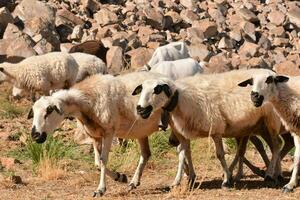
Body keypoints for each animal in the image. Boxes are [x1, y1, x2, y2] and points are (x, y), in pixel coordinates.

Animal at [27, 72, 197, 197]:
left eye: (49, 110)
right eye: (33, 112)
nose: (35, 135)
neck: (86, 101)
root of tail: (171, 81)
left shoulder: (109, 132)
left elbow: (103, 160)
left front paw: (100, 189)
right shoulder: (95, 136)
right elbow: (97, 163)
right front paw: (120, 177)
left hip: (175, 123)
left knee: (183, 147)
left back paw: (183, 178)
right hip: (141, 130)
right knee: (148, 153)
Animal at [134, 69, 284, 188]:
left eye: (157, 90)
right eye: (141, 90)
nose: (140, 109)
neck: (181, 99)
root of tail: (271, 72)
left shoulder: (216, 129)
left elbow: (220, 155)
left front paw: (226, 180)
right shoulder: (182, 134)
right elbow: (182, 155)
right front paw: (177, 181)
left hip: (271, 120)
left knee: (276, 145)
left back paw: (270, 175)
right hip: (260, 125)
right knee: (273, 146)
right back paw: (277, 175)